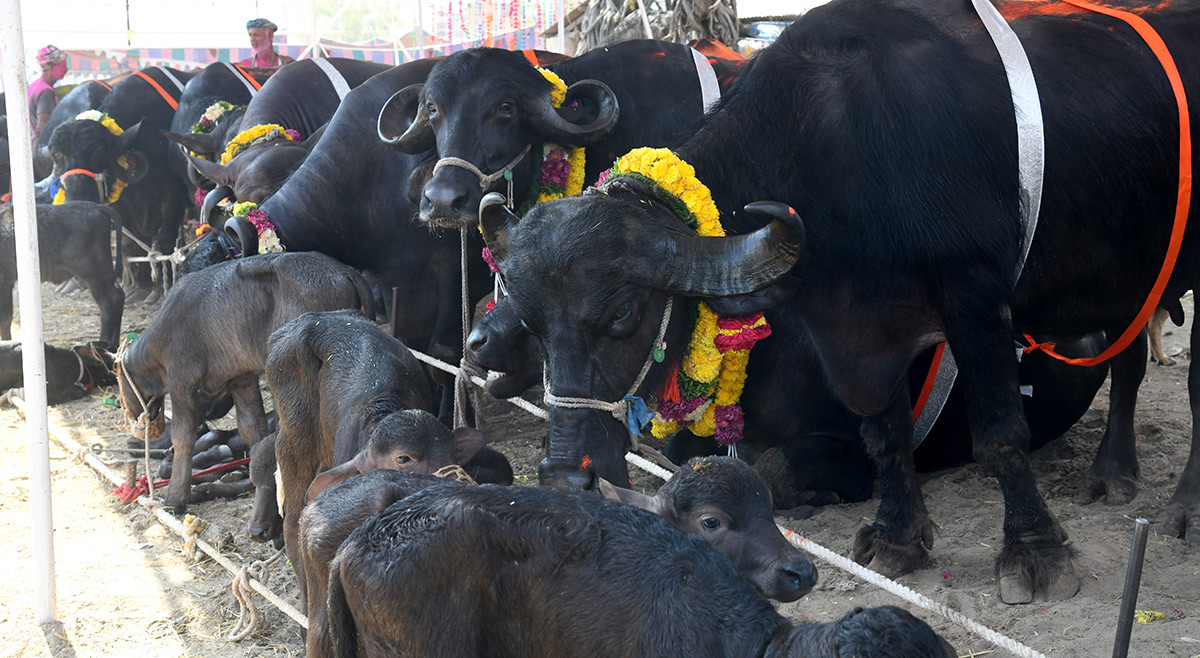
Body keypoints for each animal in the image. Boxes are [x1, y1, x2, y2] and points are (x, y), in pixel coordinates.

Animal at [477, 1, 1200, 607]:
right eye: (534, 320)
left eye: (625, 314)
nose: (565, 477)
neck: (847, 146)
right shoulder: (857, 328)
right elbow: (885, 433)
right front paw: (898, 539)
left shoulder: (974, 299)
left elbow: (1000, 434)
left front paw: (1034, 555)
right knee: (1129, 359)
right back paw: (1113, 472)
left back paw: (1177, 506)